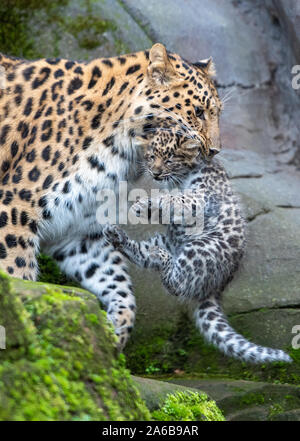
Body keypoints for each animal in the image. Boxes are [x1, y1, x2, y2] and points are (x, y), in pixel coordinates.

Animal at [0, 44, 220, 348]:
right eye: (198, 111)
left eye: (217, 112)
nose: (215, 151)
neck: (120, 149)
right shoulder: (14, 211)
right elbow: (17, 274)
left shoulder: (79, 232)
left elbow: (118, 284)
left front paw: (112, 332)